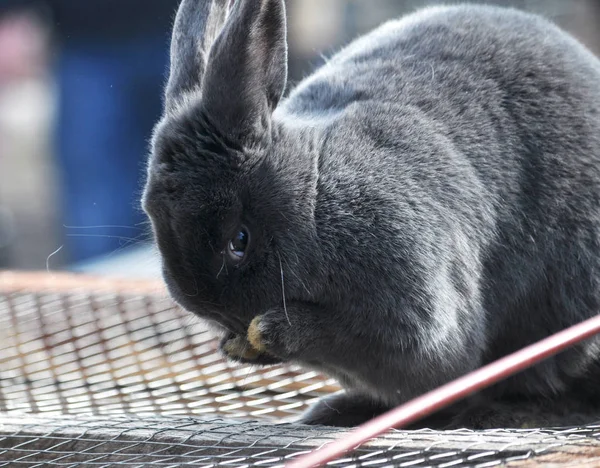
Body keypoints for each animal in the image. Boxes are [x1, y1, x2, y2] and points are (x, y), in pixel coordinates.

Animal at [142, 0, 600, 430]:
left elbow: (414, 351)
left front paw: (270, 332)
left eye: (239, 240)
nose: (220, 315)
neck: (314, 201)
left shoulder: (413, 312)